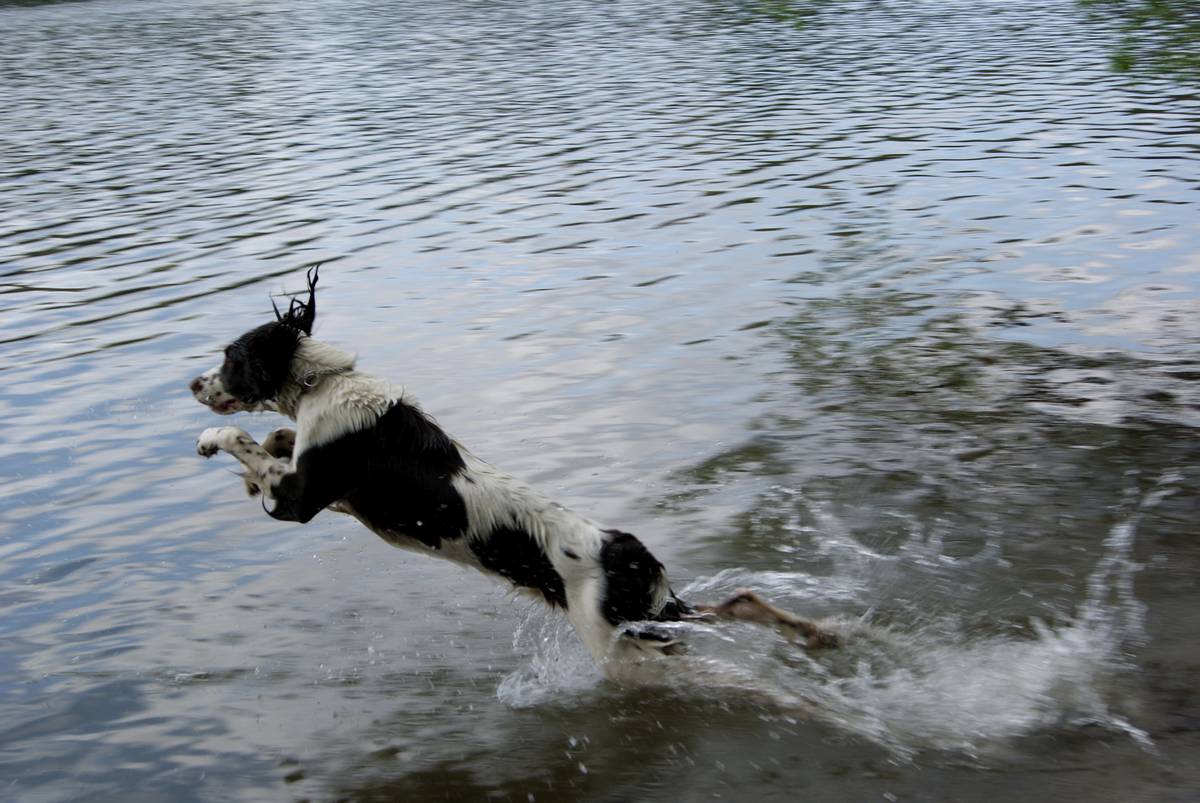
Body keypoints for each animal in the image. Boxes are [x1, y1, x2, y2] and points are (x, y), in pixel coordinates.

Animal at [192, 268, 840, 672]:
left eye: (230, 358)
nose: (193, 383)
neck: (322, 382)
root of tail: (625, 551)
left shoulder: (297, 501)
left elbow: (242, 440)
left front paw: (210, 441)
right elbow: (277, 439)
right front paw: (262, 449)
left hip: (616, 638)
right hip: (643, 615)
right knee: (733, 604)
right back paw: (813, 633)